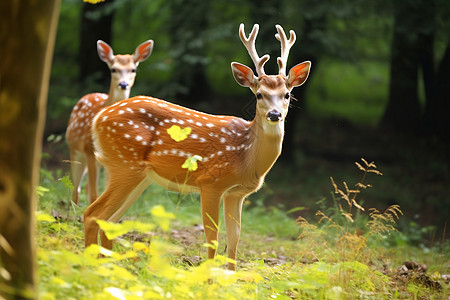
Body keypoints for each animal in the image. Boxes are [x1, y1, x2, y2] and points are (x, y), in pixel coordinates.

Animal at [64, 38, 153, 205]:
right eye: (113, 69)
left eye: (133, 70)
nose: (123, 84)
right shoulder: (89, 150)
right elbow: (94, 194)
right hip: (75, 150)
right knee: (76, 188)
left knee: (85, 187)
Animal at [83, 24, 310, 270]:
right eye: (259, 94)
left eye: (287, 94)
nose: (275, 114)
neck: (246, 156)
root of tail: (98, 118)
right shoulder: (210, 182)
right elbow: (213, 237)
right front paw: (208, 275)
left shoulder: (237, 193)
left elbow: (235, 239)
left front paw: (230, 276)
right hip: (125, 164)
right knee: (92, 214)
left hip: (139, 176)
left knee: (110, 220)